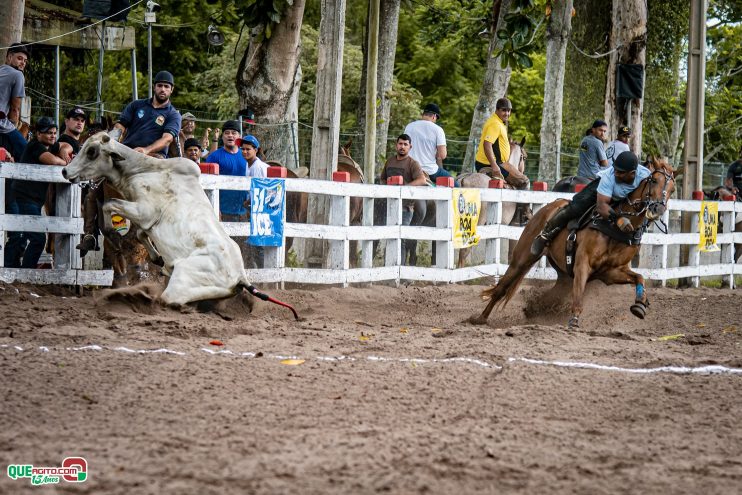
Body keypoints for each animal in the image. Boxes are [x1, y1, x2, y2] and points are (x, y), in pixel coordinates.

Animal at [61, 134, 253, 308]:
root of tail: (240, 277)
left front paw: (113, 236)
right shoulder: (144, 221)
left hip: (179, 286)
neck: (142, 171)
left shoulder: (145, 211)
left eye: (92, 151)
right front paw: (158, 259)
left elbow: (109, 205)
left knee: (169, 300)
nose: (65, 171)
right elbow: (140, 233)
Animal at [474, 157, 676, 330]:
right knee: (501, 288)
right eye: (654, 180)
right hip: (522, 258)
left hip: (563, 274)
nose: (657, 209)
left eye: (672, 189)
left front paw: (640, 305)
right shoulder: (582, 264)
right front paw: (574, 321)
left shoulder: (610, 272)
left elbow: (639, 278)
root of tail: (549, 206)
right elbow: (578, 296)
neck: (614, 231)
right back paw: (479, 318)